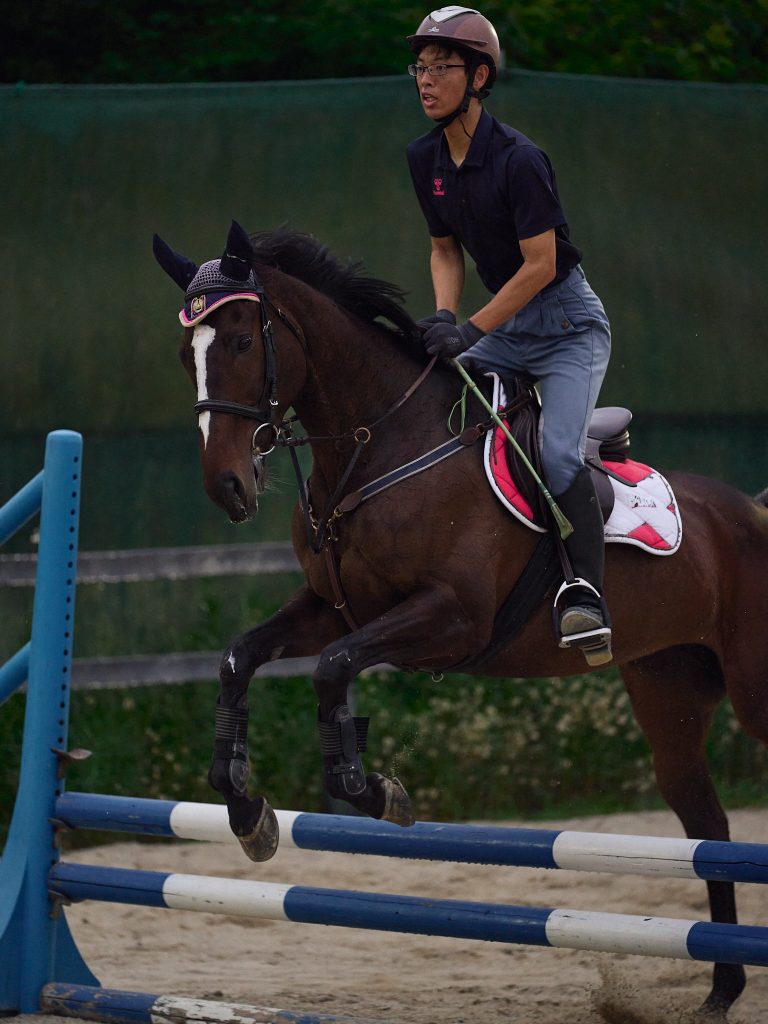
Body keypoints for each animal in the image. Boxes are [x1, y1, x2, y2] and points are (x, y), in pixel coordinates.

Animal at [154, 220, 768, 1019]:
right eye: (185, 353)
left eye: (236, 342)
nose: (228, 487)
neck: (378, 443)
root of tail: (751, 511)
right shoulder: (333, 609)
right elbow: (241, 657)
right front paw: (245, 809)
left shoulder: (452, 618)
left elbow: (333, 671)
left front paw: (375, 791)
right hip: (669, 691)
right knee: (708, 827)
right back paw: (721, 987)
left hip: (754, 689)